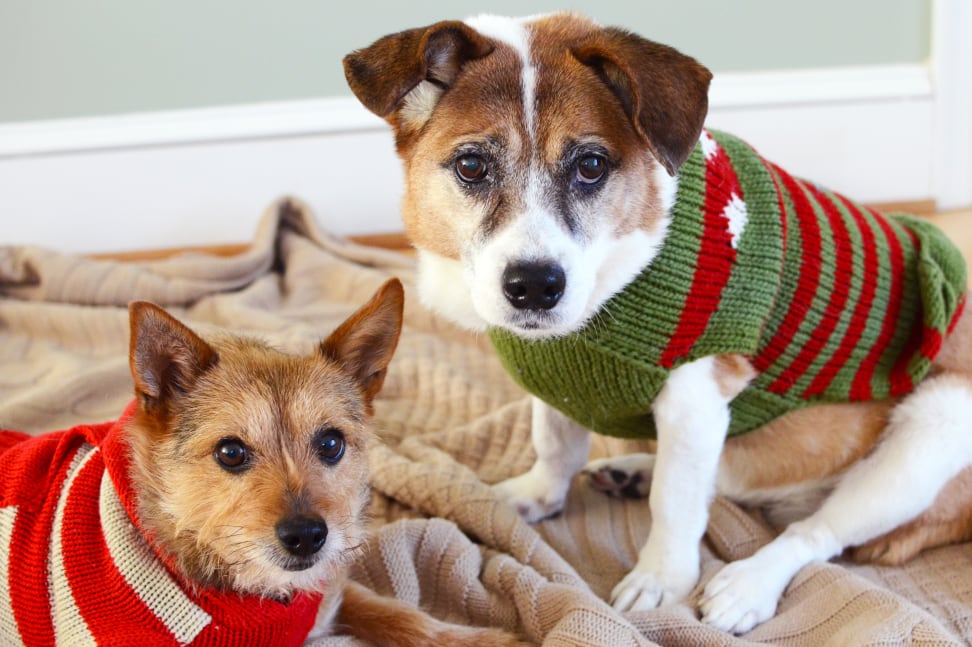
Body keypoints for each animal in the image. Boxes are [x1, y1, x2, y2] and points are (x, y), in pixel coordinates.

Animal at [346, 12, 972, 636]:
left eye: (591, 165)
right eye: (472, 165)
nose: (535, 286)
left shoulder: (696, 397)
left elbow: (675, 503)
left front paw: (661, 579)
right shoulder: (558, 376)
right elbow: (556, 443)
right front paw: (540, 494)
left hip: (935, 427)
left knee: (812, 532)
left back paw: (749, 582)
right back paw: (632, 470)